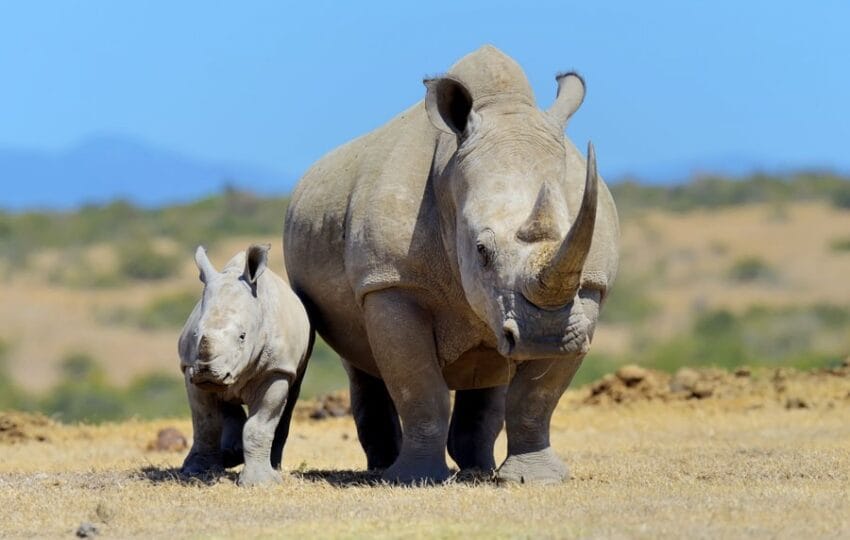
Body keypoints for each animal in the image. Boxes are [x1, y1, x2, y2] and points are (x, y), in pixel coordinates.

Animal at [178, 244, 312, 486]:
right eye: (195, 334)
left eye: (242, 336)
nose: (207, 372)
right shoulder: (189, 368)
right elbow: (205, 423)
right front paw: (197, 472)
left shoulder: (276, 369)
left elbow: (259, 424)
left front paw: (261, 483)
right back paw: (231, 455)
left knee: (290, 399)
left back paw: (273, 467)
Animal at [284, 46, 619, 484]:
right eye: (481, 250)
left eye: (576, 235)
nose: (544, 336)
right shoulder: (391, 282)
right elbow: (419, 388)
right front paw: (413, 479)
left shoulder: (589, 287)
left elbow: (537, 397)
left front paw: (534, 479)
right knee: (360, 362)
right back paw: (383, 470)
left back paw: (478, 469)